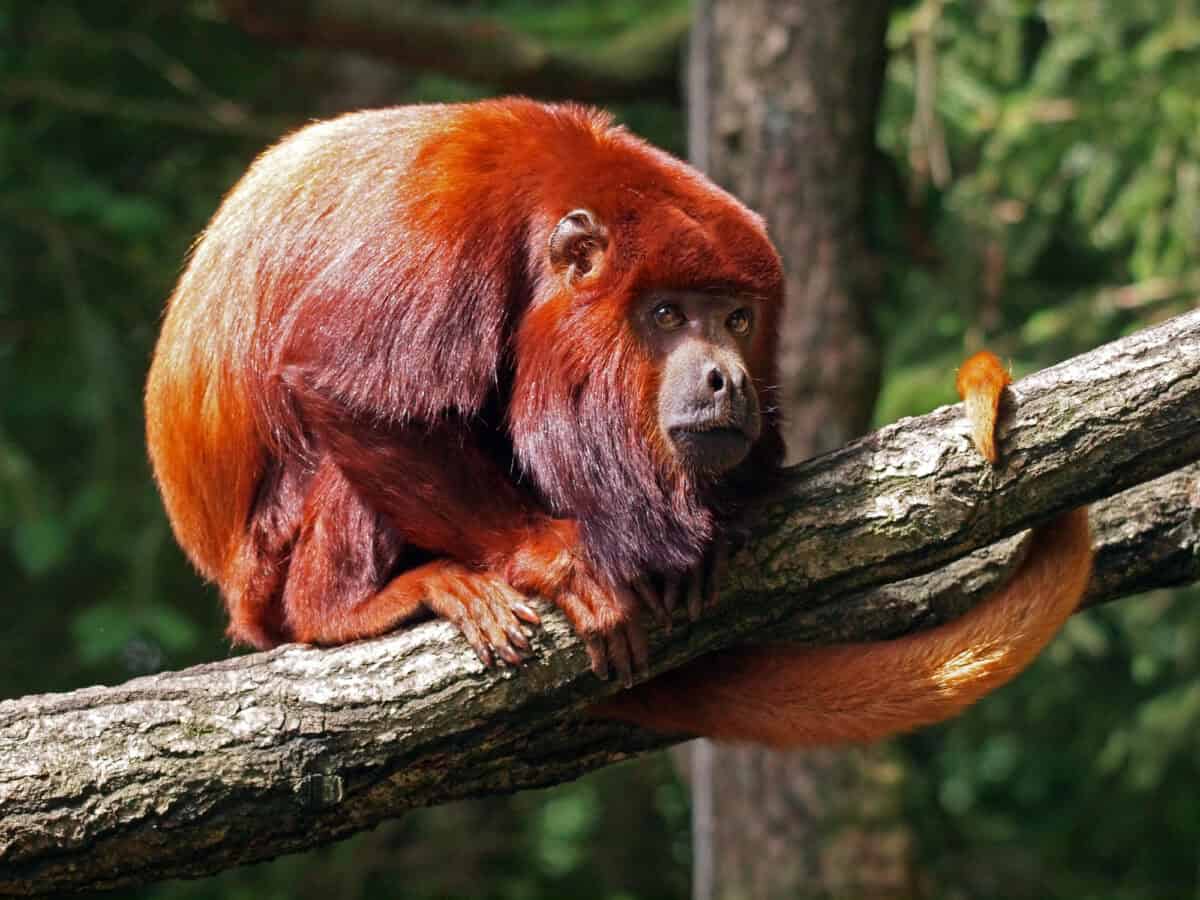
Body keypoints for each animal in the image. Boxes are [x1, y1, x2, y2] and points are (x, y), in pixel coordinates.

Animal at [146, 98, 1091, 746]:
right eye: (666, 314)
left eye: (737, 318)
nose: (726, 377)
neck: (535, 213)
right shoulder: (441, 232)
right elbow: (346, 392)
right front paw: (557, 561)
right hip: (271, 559)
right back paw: (349, 610)